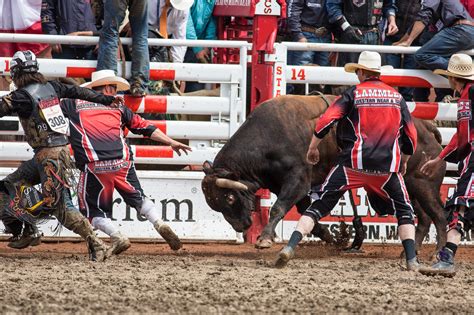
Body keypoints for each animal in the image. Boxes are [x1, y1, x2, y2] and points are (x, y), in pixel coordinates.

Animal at [201, 94, 448, 254]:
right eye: (216, 205)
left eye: (230, 197)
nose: (241, 226)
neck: (270, 136)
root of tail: (427, 129)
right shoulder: (286, 185)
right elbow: (305, 210)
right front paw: (332, 238)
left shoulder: (298, 180)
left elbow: (278, 208)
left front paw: (264, 238)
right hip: (410, 188)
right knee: (424, 218)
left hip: (424, 184)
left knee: (438, 215)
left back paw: (438, 252)